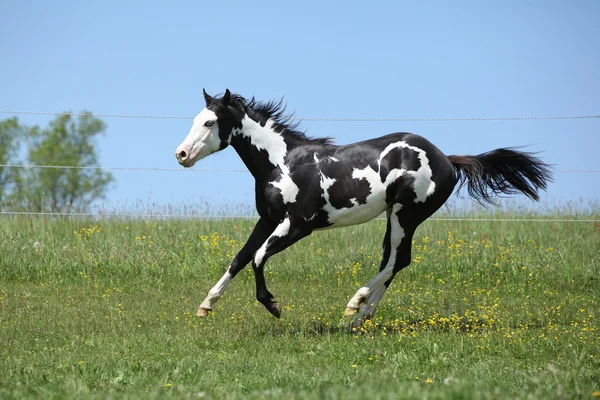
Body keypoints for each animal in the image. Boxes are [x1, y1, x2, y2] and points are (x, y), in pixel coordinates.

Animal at [175, 89, 552, 326]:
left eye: (209, 122)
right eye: (195, 118)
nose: (181, 155)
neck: (282, 162)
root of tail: (447, 159)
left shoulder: (298, 225)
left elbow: (257, 258)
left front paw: (273, 306)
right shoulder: (267, 220)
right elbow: (239, 258)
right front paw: (206, 306)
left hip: (405, 214)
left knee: (399, 260)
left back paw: (354, 304)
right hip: (395, 217)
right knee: (392, 261)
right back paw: (360, 317)